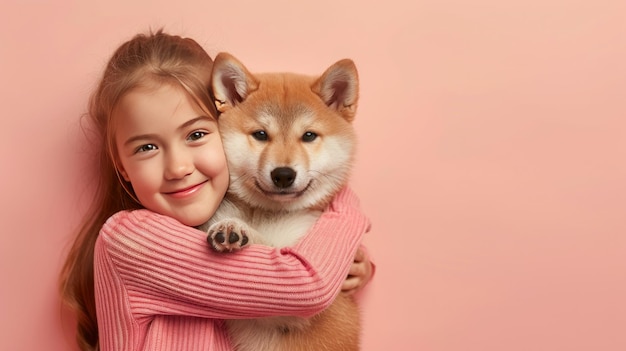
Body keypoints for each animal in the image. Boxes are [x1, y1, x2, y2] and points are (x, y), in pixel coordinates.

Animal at [204, 53, 358, 351]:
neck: (265, 213)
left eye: (308, 136)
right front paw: (231, 225)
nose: (283, 174)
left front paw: (238, 230)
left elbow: (272, 250)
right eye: (261, 135)